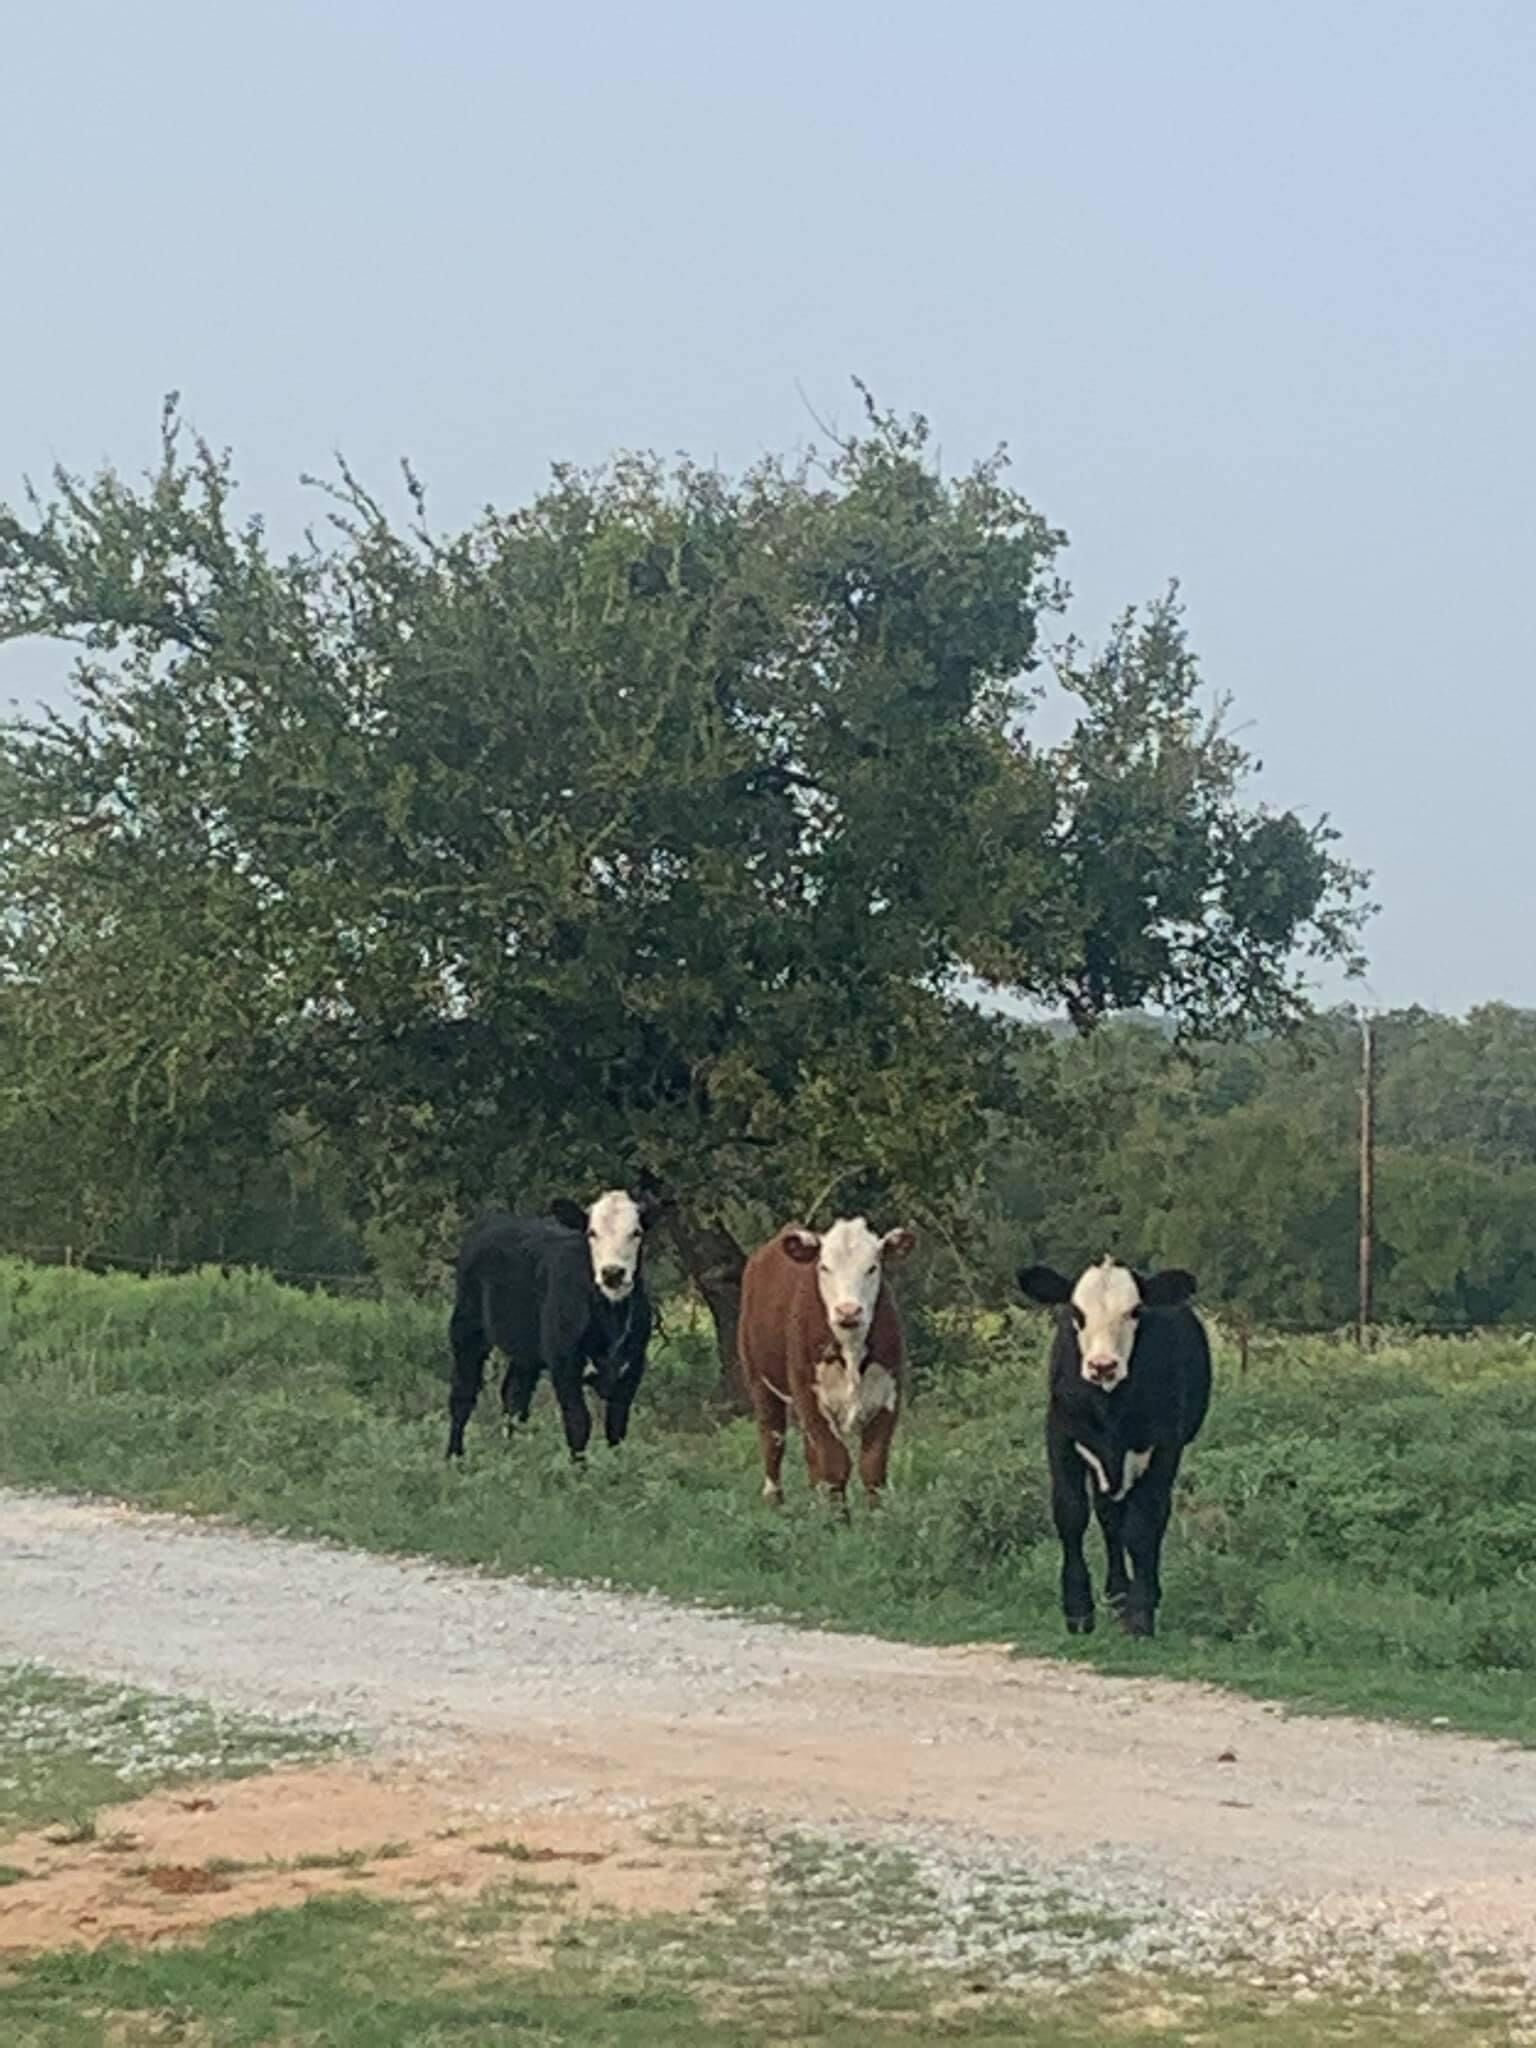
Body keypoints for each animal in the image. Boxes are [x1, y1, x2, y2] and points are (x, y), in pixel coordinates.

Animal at [446, 1189, 656, 1464]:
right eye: (591, 1233)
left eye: (636, 1232)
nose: (612, 1273)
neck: (611, 1320)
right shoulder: (564, 1363)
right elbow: (579, 1424)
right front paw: (580, 1471)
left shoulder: (633, 1367)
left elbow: (616, 1429)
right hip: (467, 1326)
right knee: (463, 1394)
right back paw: (454, 1458)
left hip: (527, 1350)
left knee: (514, 1395)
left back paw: (512, 1455)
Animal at [738, 1217, 916, 1514]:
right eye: (824, 1267)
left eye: (872, 1267)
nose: (848, 1311)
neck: (851, 1348)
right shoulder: (809, 1395)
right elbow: (834, 1465)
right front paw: (837, 1522)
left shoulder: (889, 1395)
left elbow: (872, 1467)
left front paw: (879, 1519)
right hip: (758, 1379)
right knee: (773, 1440)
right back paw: (775, 1503)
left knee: (811, 1456)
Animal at [1016, 1257, 1212, 1639]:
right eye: (1076, 1312)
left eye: (1135, 1310)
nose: (1103, 1365)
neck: (1109, 1410)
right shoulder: (1060, 1435)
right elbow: (1072, 1515)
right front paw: (1078, 1610)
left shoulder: (1165, 1445)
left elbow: (1143, 1525)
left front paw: (1141, 1614)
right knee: (1108, 1516)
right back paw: (1117, 1593)